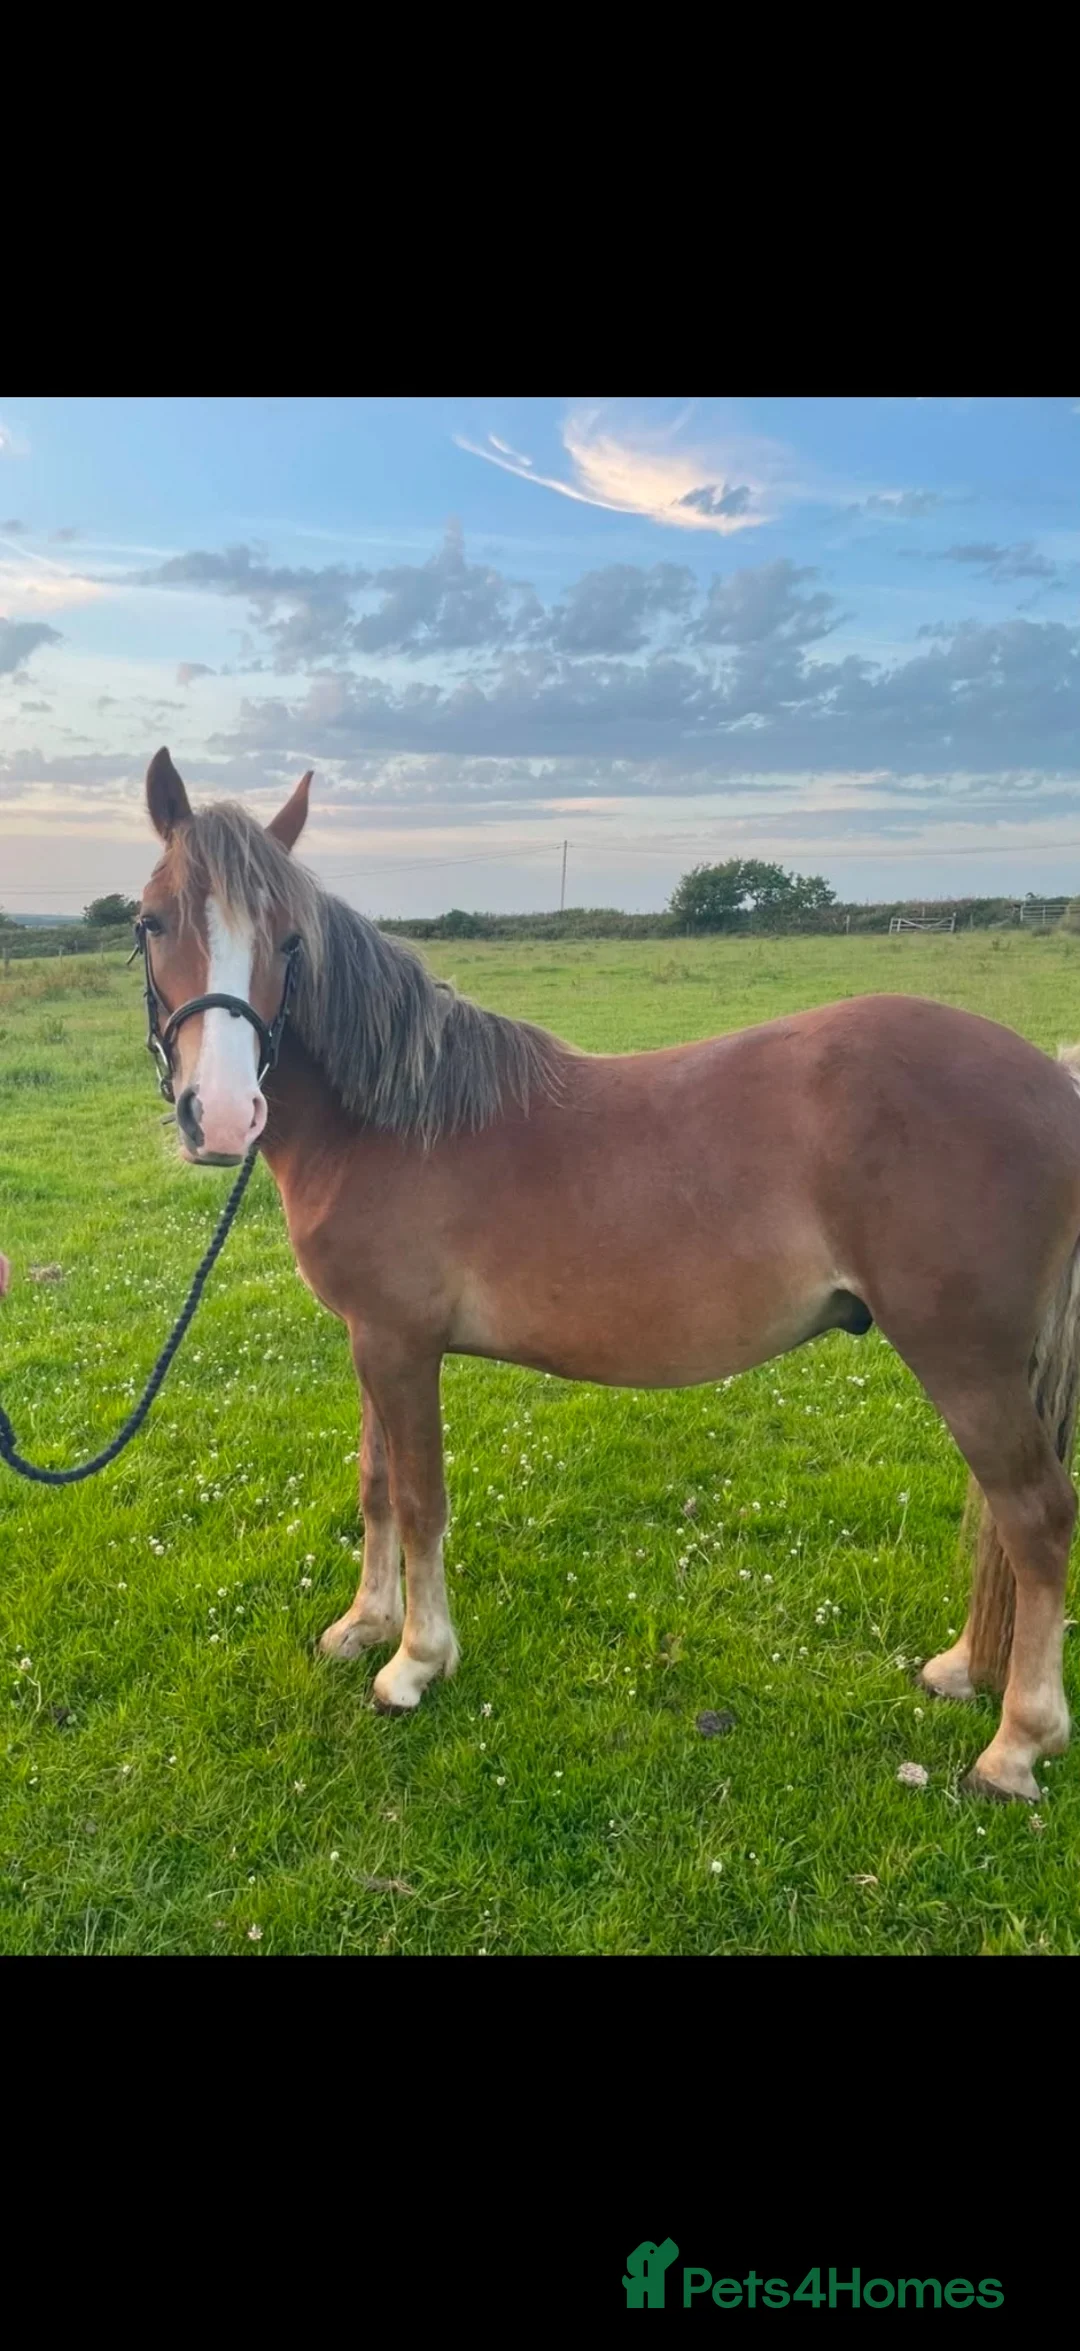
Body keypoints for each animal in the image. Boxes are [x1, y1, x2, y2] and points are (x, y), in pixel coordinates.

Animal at [136, 746, 1080, 1804]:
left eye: (289, 939)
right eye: (151, 920)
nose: (220, 1116)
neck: (389, 1119)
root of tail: (1055, 1082)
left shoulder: (401, 1344)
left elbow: (421, 1498)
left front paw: (415, 1660)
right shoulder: (368, 1341)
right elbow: (376, 1482)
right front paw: (364, 1625)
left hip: (967, 1362)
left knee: (1037, 1519)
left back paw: (1017, 1743)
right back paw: (966, 1672)